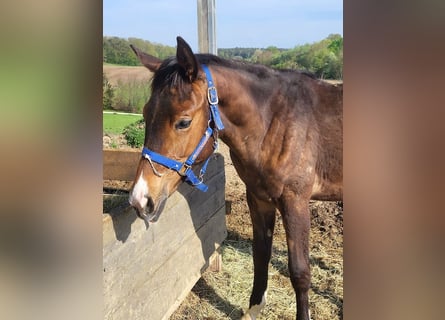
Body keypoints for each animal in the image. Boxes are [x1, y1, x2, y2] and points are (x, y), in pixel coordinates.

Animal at [128, 37, 344, 320]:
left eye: (184, 122)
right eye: (145, 113)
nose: (141, 199)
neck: (275, 121)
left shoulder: (295, 201)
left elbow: (300, 272)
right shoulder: (259, 198)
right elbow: (260, 255)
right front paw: (254, 309)